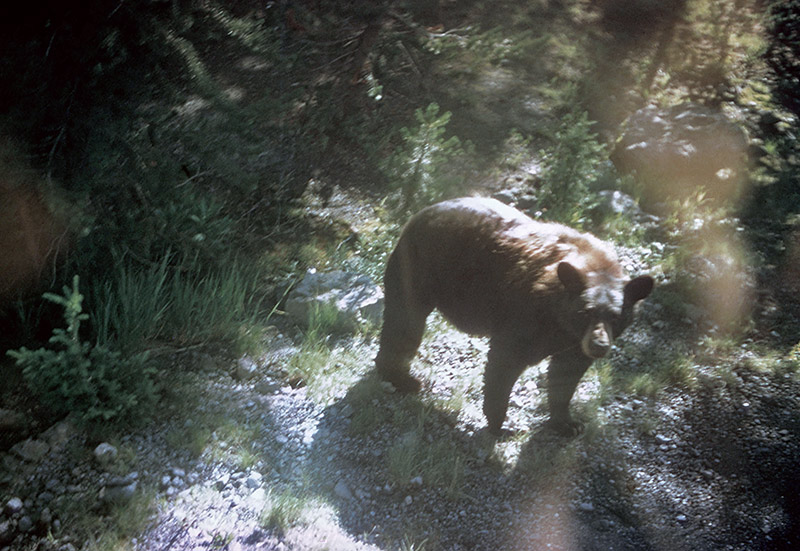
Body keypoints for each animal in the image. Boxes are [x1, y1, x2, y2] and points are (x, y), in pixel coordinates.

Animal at [372, 197, 652, 436]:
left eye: (615, 317)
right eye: (585, 312)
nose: (598, 345)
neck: (560, 320)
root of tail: (419, 214)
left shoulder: (572, 343)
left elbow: (566, 374)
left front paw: (567, 422)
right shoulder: (527, 316)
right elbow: (505, 360)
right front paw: (500, 424)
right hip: (419, 267)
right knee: (405, 322)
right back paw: (402, 379)